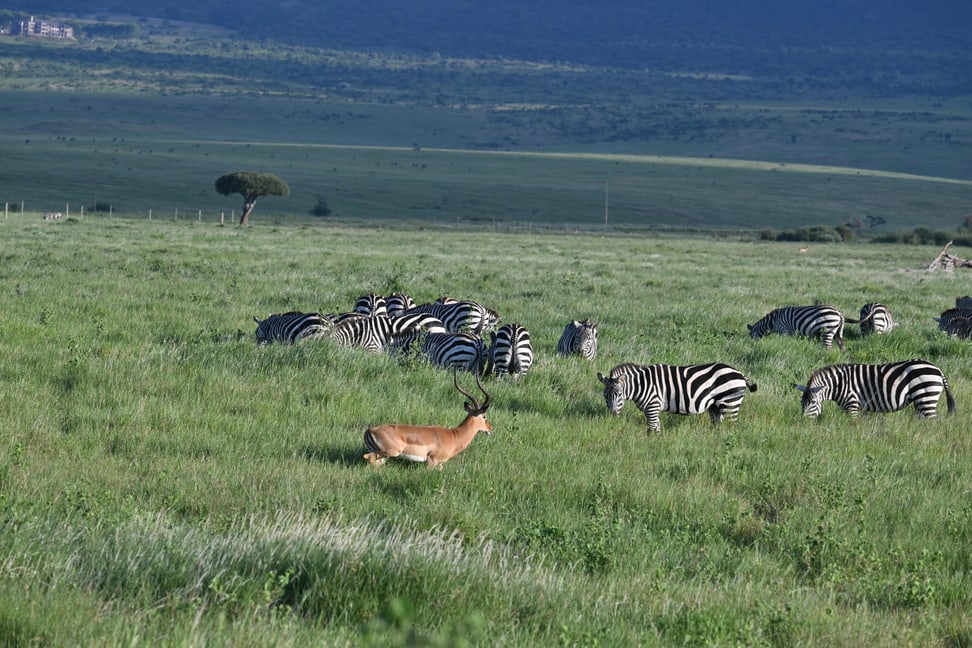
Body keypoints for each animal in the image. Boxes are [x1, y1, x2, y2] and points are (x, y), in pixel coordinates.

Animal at [597, 362, 757, 434]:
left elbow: (651, 428)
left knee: (731, 427)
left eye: (619, 394)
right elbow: (657, 428)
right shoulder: (654, 409)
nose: (612, 415)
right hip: (715, 406)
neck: (642, 384)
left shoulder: (652, 406)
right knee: (718, 426)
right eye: (605, 396)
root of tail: (740, 374)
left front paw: (650, 446)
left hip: (730, 403)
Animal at [793, 359, 955, 419]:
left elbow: (852, 426)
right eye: (801, 403)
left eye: (813, 403)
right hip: (920, 401)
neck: (840, 384)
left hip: (927, 397)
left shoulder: (853, 404)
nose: (803, 421)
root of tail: (938, 369)